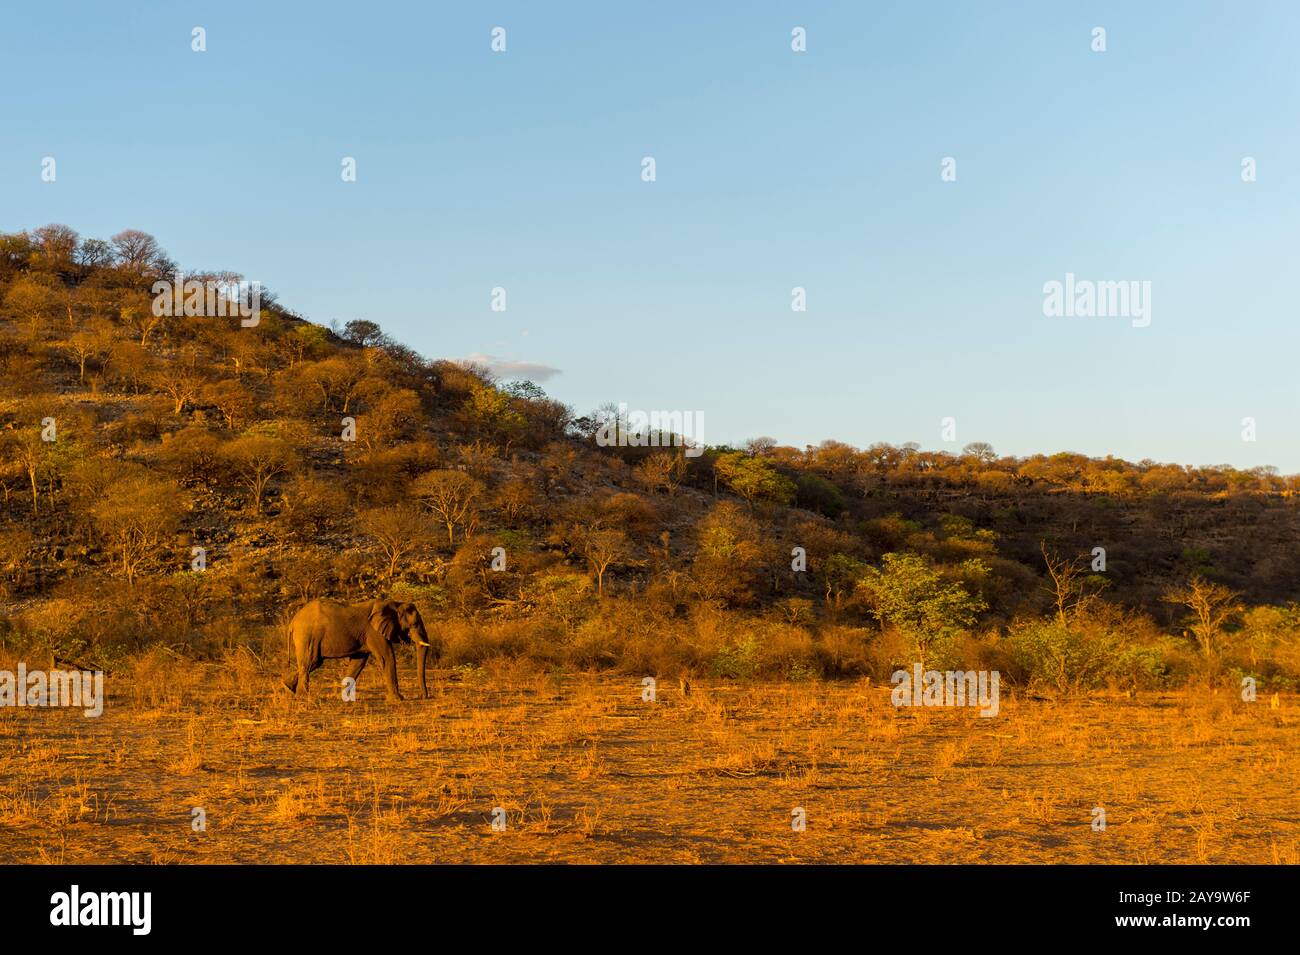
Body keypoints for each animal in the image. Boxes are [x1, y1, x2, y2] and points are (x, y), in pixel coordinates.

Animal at [281, 599, 432, 701]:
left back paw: (287, 688)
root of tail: (293, 621)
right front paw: (398, 699)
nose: (423, 696)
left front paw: (343, 697)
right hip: (307, 635)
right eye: (414, 624)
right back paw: (303, 697)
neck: (394, 604)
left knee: (313, 663)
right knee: (310, 662)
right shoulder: (373, 632)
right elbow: (387, 657)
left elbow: (358, 663)